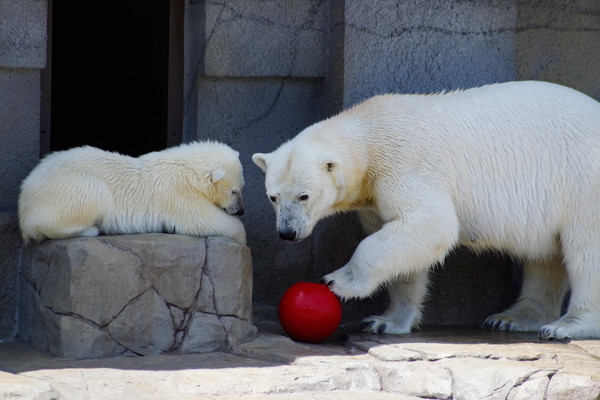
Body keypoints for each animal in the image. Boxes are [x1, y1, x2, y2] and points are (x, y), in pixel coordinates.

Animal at [252, 79, 600, 340]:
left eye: (304, 196)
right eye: (272, 197)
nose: (287, 232)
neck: (370, 132)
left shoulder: (405, 164)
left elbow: (432, 224)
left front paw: (339, 281)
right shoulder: (374, 196)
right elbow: (405, 247)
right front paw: (385, 321)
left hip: (583, 178)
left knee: (585, 249)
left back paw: (567, 326)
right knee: (546, 257)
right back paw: (511, 318)